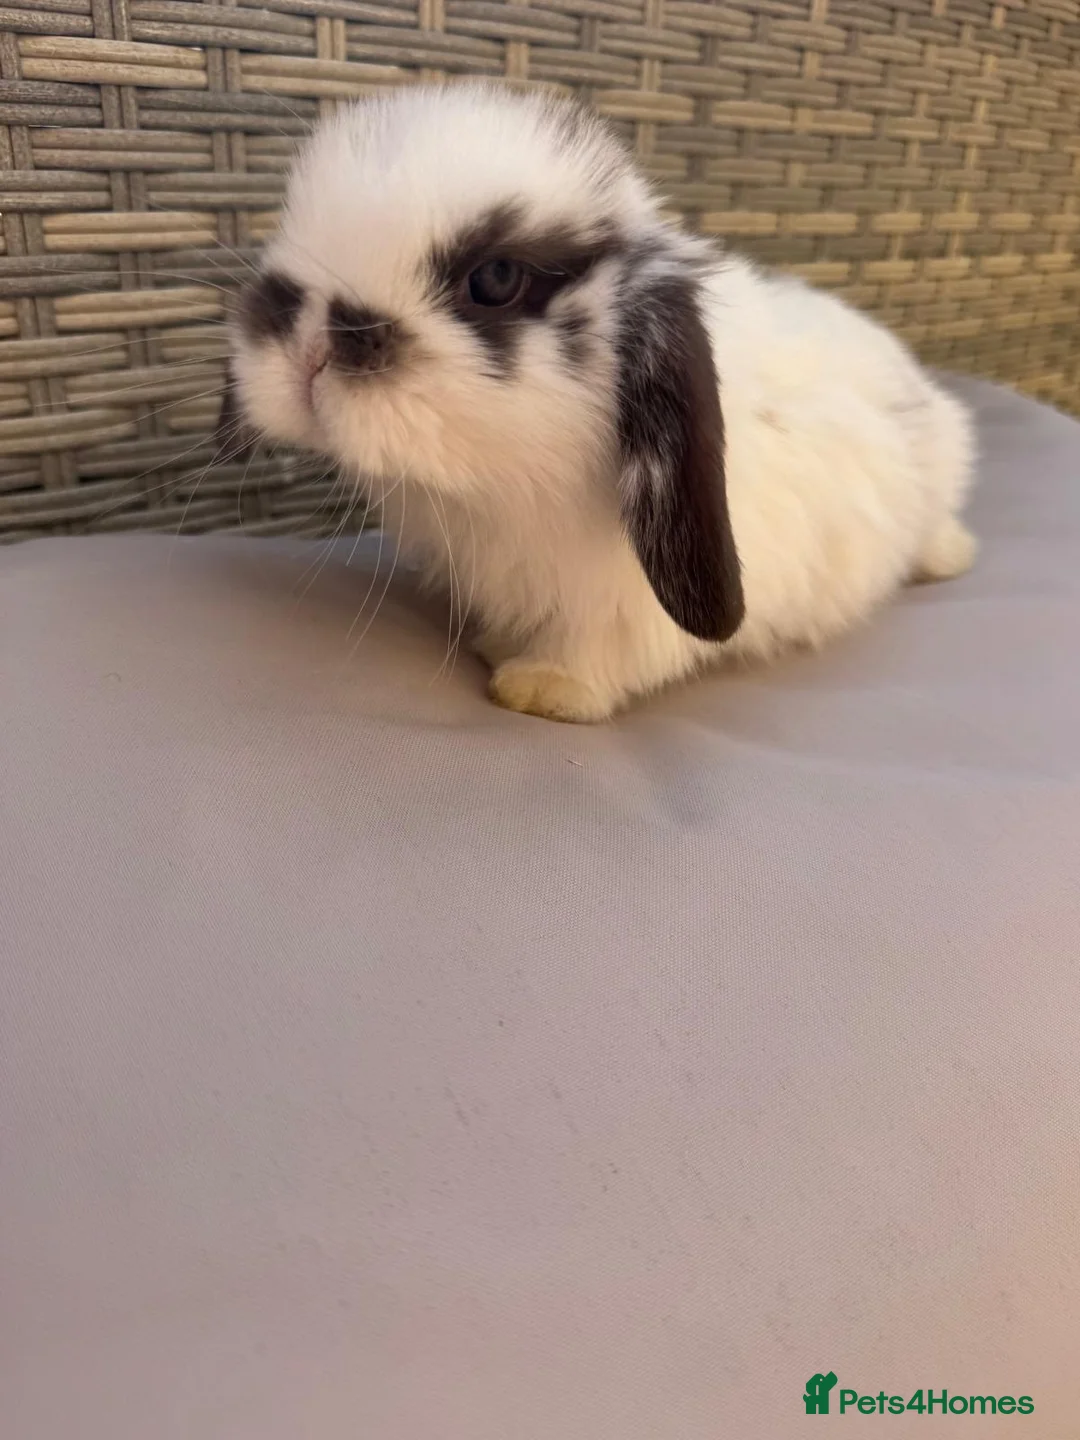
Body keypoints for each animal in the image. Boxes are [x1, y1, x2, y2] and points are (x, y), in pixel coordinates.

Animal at [220, 81, 977, 723]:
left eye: (495, 278)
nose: (310, 344)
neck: (491, 494)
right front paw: (499, 646)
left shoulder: (623, 601)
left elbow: (600, 651)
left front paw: (541, 689)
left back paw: (950, 558)